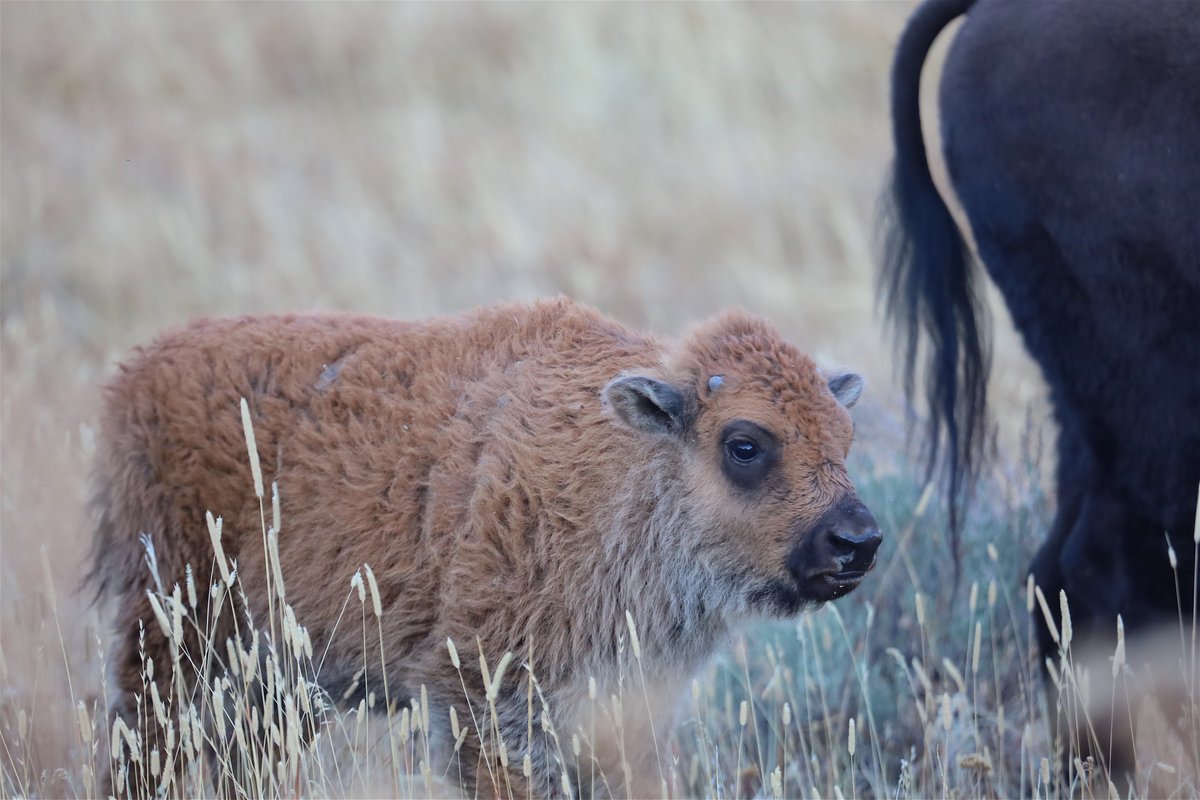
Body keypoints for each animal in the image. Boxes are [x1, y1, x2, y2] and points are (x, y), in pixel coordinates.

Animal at [91, 299, 883, 800]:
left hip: (276, 680)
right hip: (176, 641)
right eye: (744, 444)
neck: (626, 466)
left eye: (844, 437)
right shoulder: (488, 699)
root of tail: (135, 375)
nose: (858, 541)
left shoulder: (629, 710)